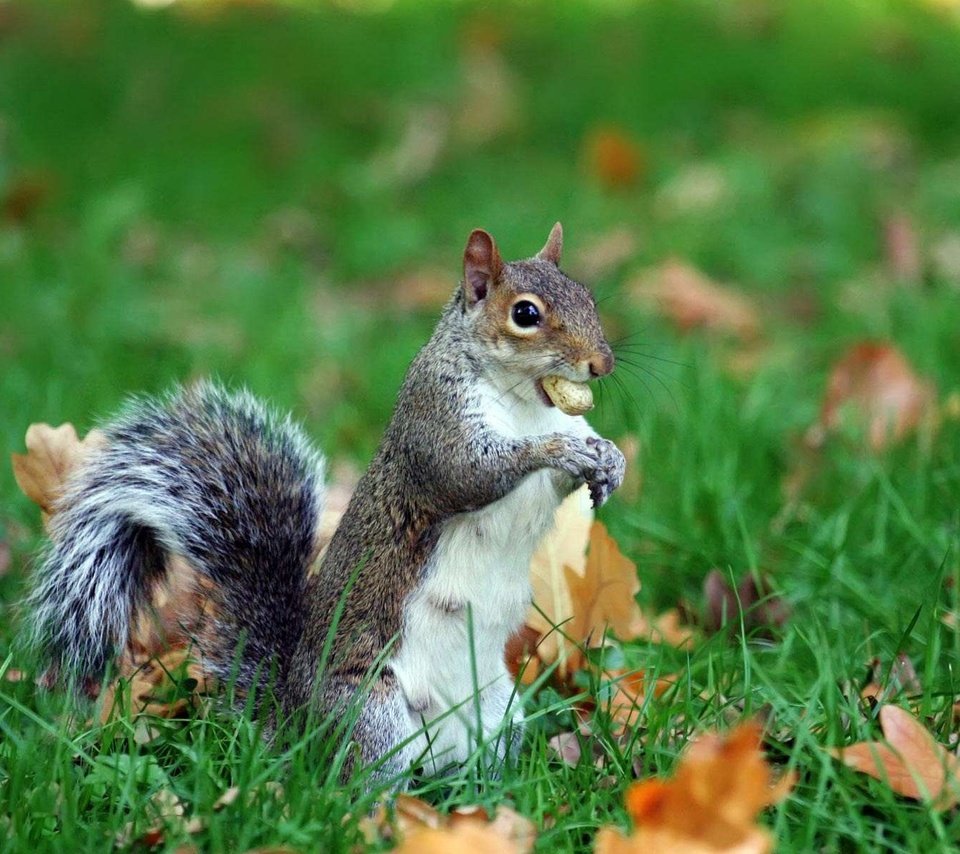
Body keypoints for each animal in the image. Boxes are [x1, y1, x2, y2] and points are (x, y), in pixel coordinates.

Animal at [26, 222, 628, 788]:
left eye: (588, 296)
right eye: (525, 314)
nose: (601, 364)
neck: (528, 400)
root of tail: (292, 724)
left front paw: (609, 460)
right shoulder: (434, 420)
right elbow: (469, 473)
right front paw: (560, 449)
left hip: (498, 712)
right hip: (371, 713)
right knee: (361, 784)